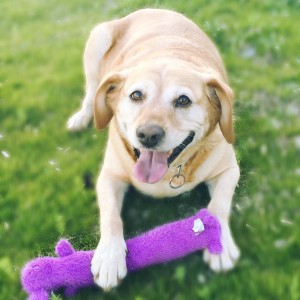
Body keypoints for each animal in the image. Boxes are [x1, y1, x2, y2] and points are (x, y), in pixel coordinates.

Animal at [67, 8, 240, 290]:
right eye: (136, 95)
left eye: (183, 100)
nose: (147, 135)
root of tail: (150, 8)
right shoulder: (109, 176)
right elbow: (111, 215)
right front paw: (109, 257)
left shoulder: (230, 169)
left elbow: (219, 205)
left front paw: (220, 245)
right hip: (97, 42)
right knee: (91, 92)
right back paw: (82, 117)